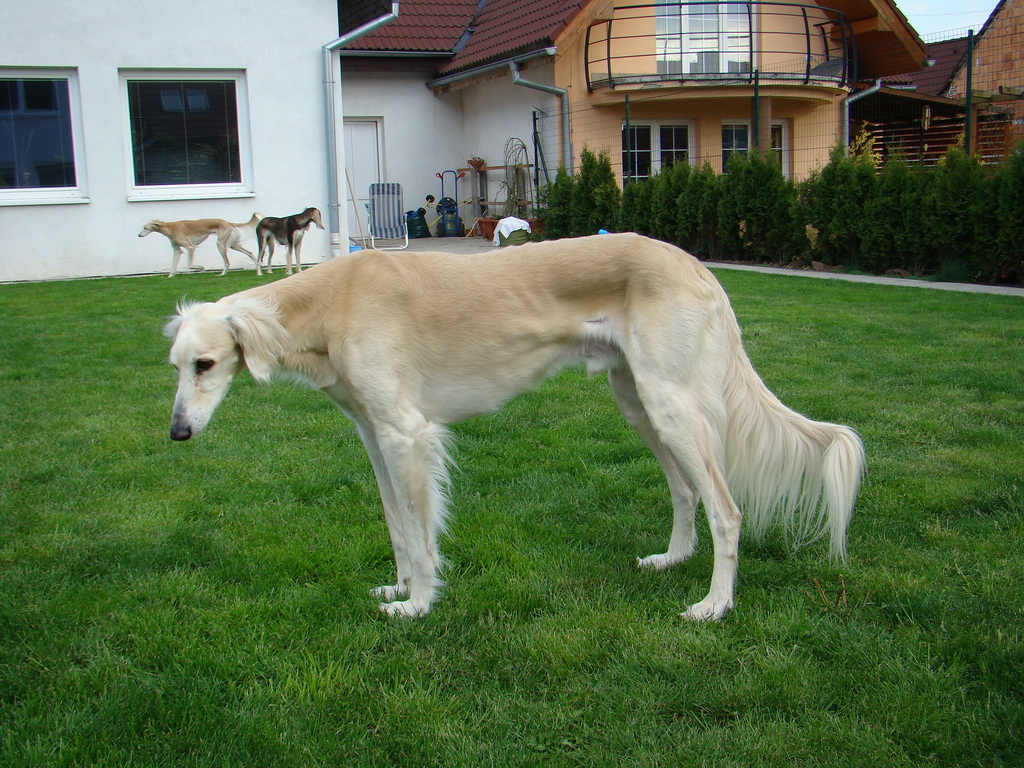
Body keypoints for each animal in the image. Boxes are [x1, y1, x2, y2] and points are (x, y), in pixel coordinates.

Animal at [165, 233, 864, 618]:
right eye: (175, 366)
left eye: (206, 364)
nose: (177, 434)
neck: (331, 302)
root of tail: (699, 266)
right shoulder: (372, 435)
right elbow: (396, 525)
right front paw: (398, 588)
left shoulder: (405, 433)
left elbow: (420, 533)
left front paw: (419, 604)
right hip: (639, 401)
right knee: (686, 491)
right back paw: (672, 558)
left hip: (671, 405)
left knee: (726, 508)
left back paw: (715, 605)